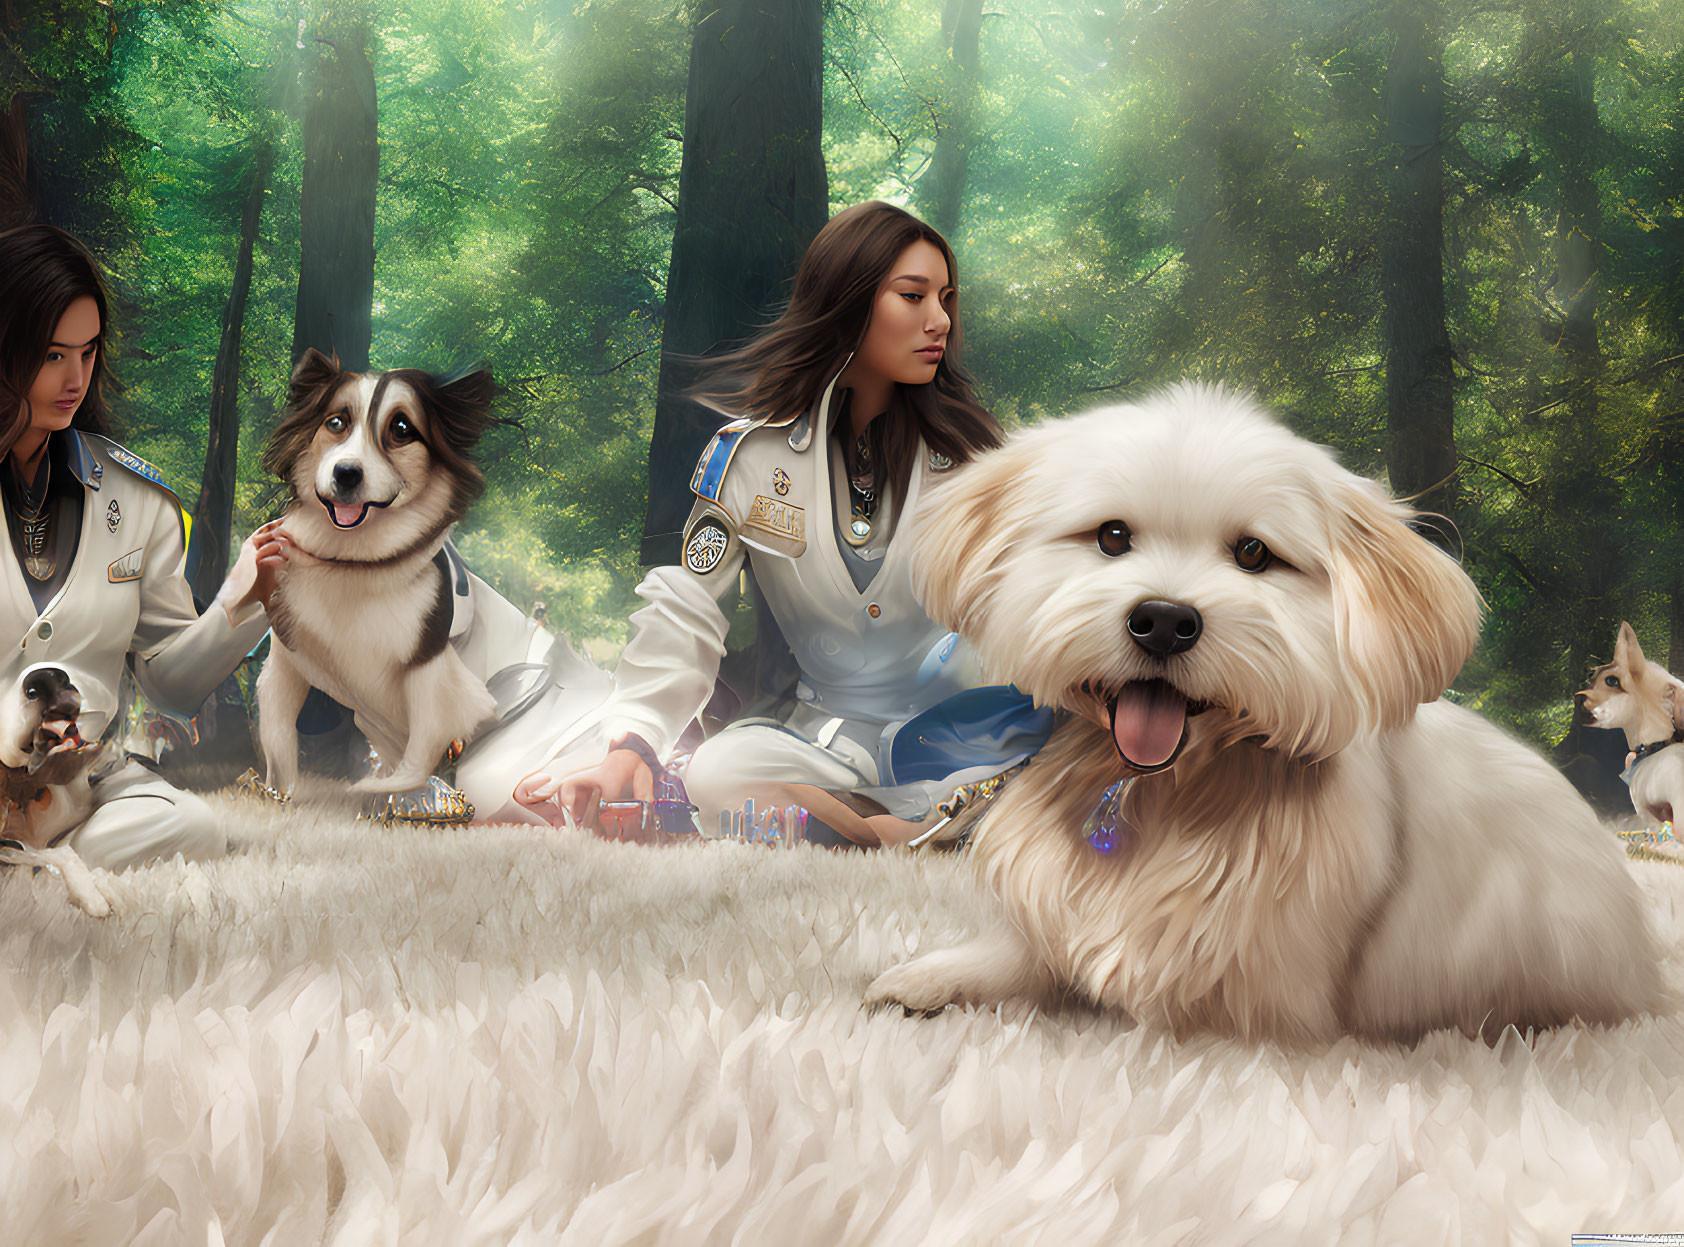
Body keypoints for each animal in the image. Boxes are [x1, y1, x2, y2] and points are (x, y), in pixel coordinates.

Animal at [868, 382, 1657, 1044]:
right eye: (1112, 536)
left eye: (1253, 553)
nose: (1163, 621)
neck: (1162, 788)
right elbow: (1023, 954)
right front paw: (930, 977)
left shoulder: (1266, 999)